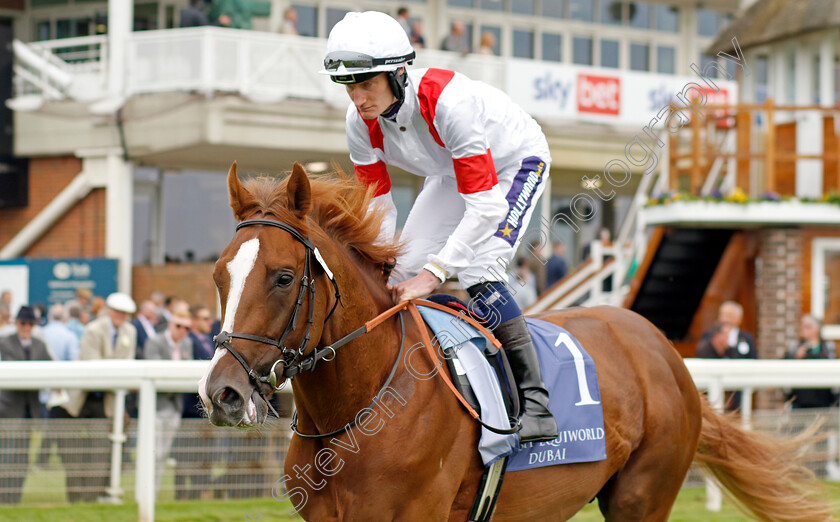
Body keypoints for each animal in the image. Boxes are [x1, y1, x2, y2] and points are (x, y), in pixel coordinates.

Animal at [199, 160, 832, 516]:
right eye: (219, 274)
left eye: (283, 277)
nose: (222, 393)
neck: (359, 407)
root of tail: (662, 349)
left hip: (643, 494)